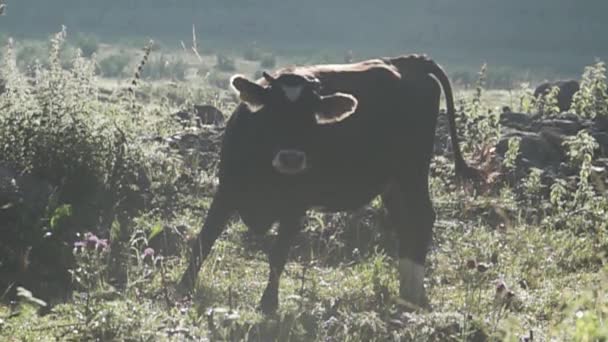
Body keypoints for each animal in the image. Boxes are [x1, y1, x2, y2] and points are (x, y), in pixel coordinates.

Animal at [176, 52, 480, 312]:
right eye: (272, 112)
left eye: (312, 118)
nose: (291, 158)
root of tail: (409, 62)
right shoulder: (226, 190)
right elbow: (204, 240)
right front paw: (183, 288)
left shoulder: (295, 205)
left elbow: (278, 255)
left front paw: (268, 304)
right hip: (393, 182)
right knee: (405, 222)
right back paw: (407, 290)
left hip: (411, 171)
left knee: (422, 218)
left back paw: (414, 291)